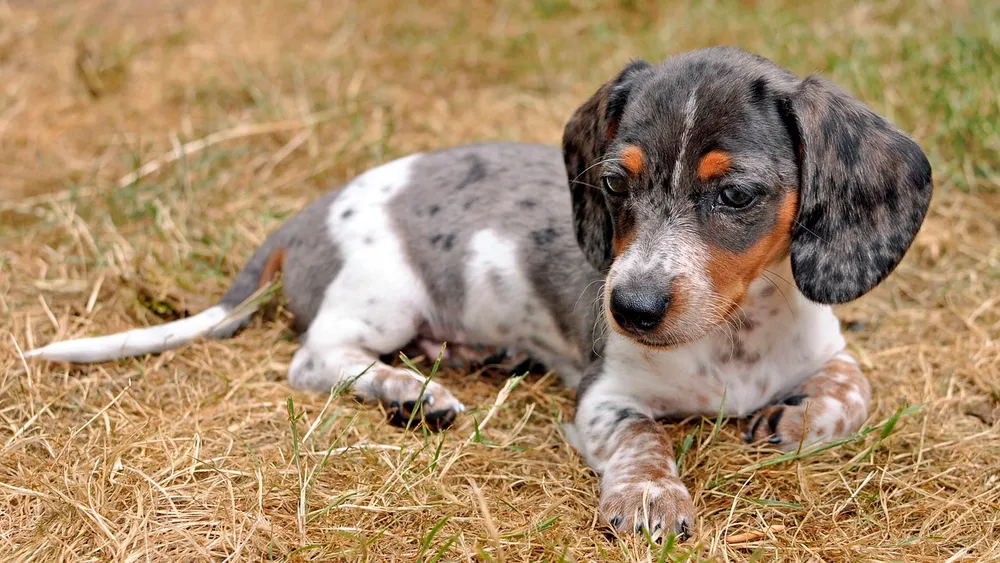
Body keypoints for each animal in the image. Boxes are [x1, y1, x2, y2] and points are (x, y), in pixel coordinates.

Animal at [23, 48, 932, 540]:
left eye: (735, 194)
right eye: (614, 183)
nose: (629, 310)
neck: (734, 338)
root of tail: (305, 215)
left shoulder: (828, 350)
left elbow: (854, 390)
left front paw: (795, 420)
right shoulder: (606, 398)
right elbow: (646, 440)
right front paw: (648, 495)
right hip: (382, 295)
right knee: (316, 359)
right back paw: (410, 391)